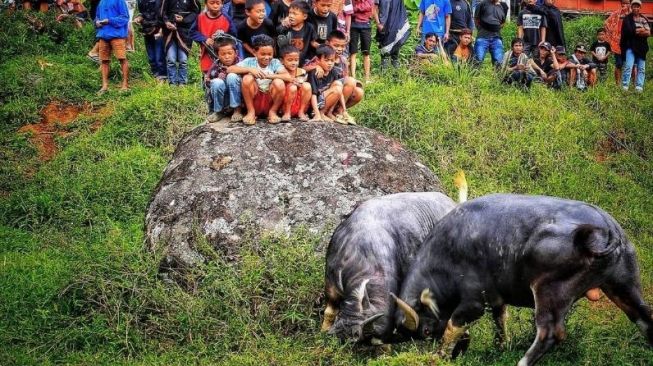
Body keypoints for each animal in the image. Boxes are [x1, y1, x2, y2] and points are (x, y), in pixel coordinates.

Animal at [392, 193, 652, 364]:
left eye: (426, 331)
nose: (426, 347)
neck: (447, 253)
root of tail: (607, 230)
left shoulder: (473, 302)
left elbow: (452, 326)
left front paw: (439, 356)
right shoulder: (496, 298)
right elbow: (500, 319)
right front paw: (500, 347)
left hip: (549, 291)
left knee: (550, 333)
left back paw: (523, 361)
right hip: (624, 283)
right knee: (644, 317)